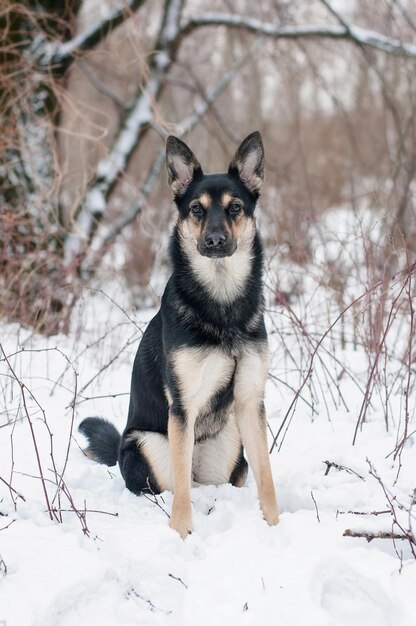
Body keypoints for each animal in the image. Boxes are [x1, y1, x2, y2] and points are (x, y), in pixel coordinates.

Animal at [78, 132, 280, 536]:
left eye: (235, 207)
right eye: (197, 210)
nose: (215, 240)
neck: (221, 303)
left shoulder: (250, 402)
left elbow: (266, 476)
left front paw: (275, 524)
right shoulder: (182, 407)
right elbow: (182, 489)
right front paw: (181, 533)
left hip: (231, 444)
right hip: (146, 443)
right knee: (175, 483)